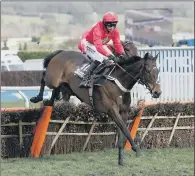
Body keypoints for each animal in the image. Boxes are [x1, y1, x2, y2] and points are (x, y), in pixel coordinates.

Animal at [30, 41, 161, 165]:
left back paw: (49, 101)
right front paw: (136, 149)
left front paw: (121, 160)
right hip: (52, 79)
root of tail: (61, 52)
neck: (118, 80)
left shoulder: (123, 112)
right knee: (43, 78)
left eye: (158, 70)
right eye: (148, 70)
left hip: (65, 86)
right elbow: (125, 129)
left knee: (55, 92)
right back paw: (37, 97)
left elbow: (123, 133)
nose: (157, 92)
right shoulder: (111, 110)